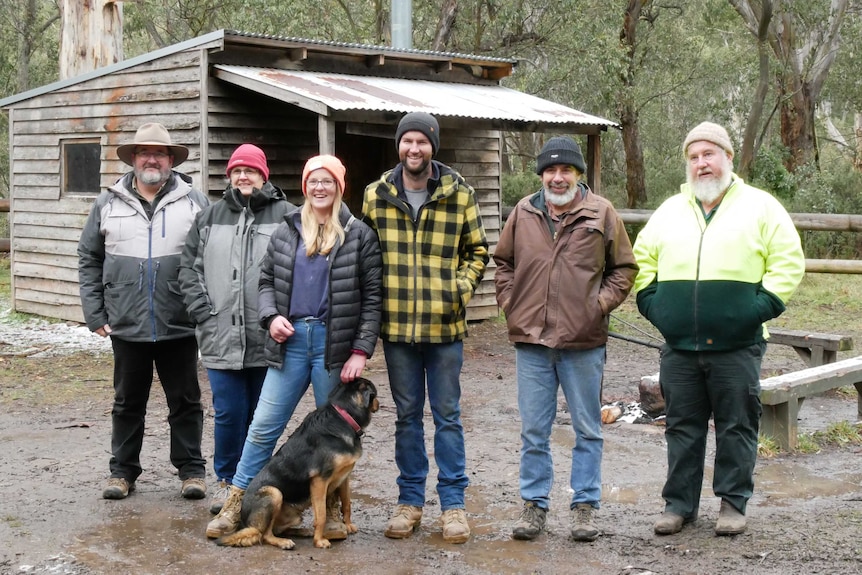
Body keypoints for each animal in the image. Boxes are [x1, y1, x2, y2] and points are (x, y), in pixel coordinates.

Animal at [216, 378, 378, 548]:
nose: (379, 404)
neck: (344, 417)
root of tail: (248, 523)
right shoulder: (319, 481)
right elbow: (321, 515)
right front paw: (319, 541)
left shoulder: (344, 476)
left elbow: (347, 503)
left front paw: (348, 525)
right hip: (274, 493)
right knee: (265, 535)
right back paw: (283, 542)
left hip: (293, 515)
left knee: (278, 530)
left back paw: (303, 531)